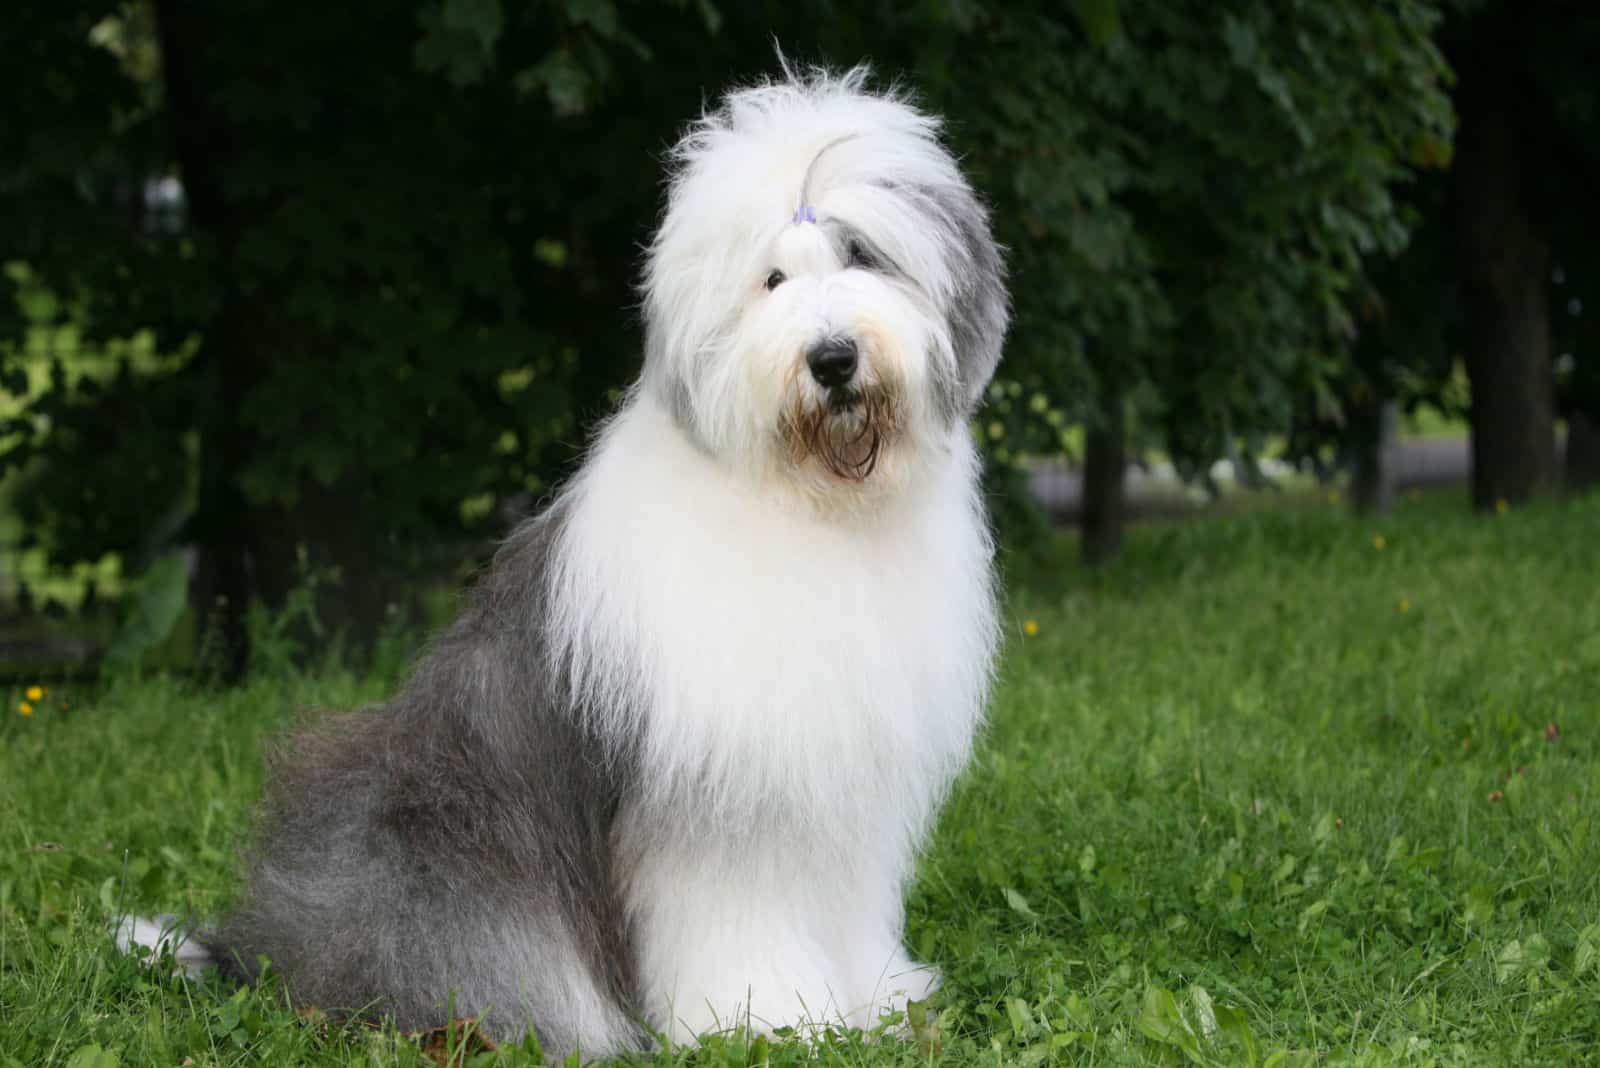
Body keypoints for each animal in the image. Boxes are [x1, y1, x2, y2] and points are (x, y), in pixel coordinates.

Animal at [124, 64, 1004, 1061]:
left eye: (863, 256)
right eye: (771, 280)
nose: (832, 358)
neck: (805, 502)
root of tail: (271, 952)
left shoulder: (848, 787)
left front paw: (880, 1001)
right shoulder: (724, 801)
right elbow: (743, 918)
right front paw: (770, 1019)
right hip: (446, 868)